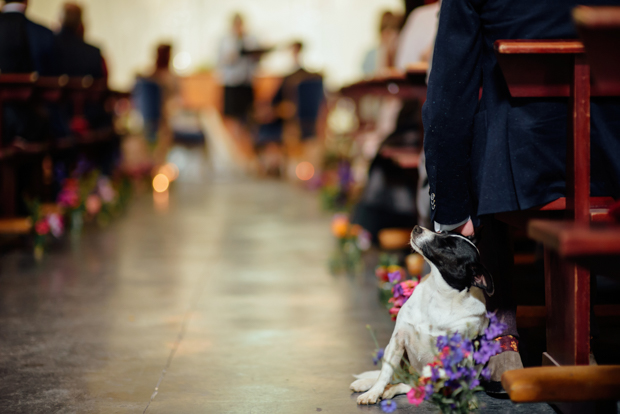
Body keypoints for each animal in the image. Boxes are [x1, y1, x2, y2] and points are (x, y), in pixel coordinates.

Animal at [354, 226, 494, 404]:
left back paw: (391, 389)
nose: (417, 228)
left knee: (411, 385)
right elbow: (384, 373)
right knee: (395, 377)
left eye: (449, 247)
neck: (437, 293)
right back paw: (367, 383)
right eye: (442, 232)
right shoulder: (397, 340)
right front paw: (373, 392)